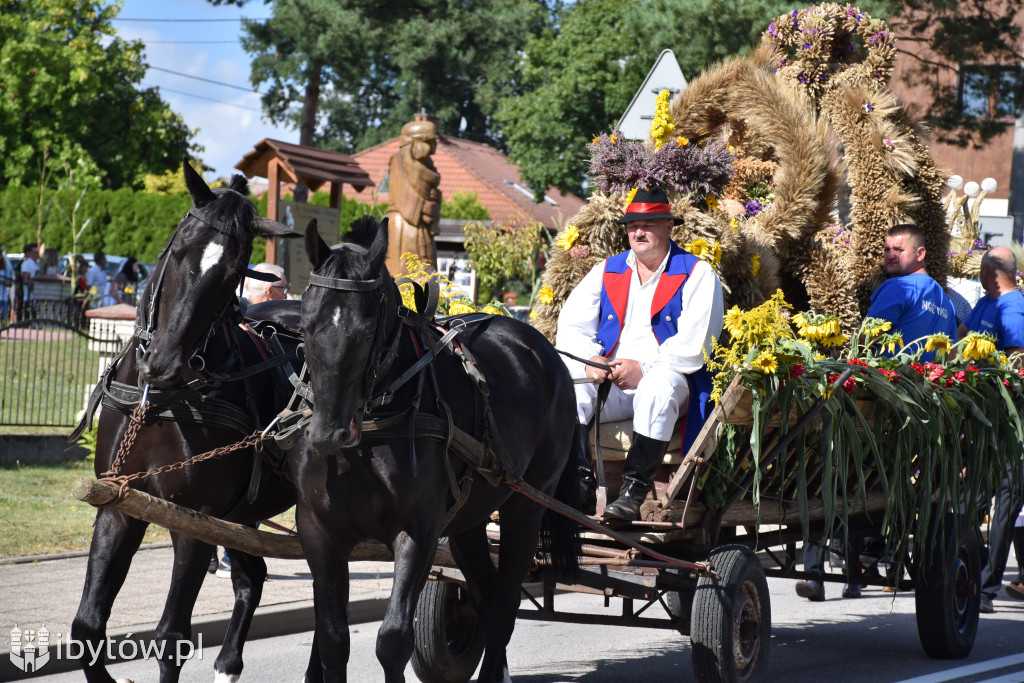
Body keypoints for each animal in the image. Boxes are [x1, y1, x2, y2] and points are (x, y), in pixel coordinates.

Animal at [71, 165, 311, 683]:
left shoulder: (196, 521)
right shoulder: (120, 505)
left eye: (232, 275)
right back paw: (228, 665)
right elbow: (87, 627)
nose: (164, 363)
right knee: (252, 580)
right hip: (240, 516)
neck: (161, 401)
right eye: (180, 249)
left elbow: (171, 636)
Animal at [299, 216, 581, 679]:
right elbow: (332, 641)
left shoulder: (418, 530)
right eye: (305, 323)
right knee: (485, 597)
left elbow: (393, 640)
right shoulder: (319, 532)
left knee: (503, 607)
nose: (327, 433)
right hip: (469, 520)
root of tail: (544, 350)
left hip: (526, 506)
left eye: (366, 328)